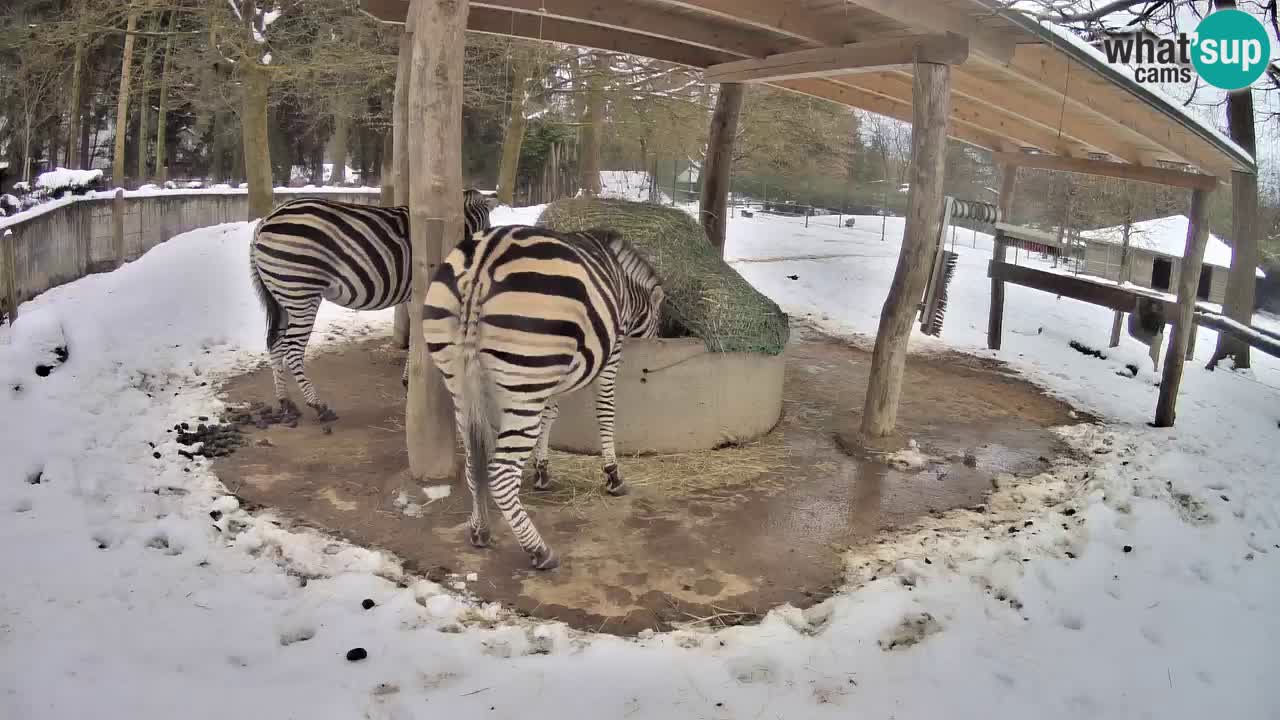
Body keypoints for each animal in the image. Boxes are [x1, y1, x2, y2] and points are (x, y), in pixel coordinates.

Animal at [250, 189, 497, 421]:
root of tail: (266, 220)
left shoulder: (411, 296)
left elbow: (415, 335)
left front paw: (408, 382)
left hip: (282, 297)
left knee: (275, 343)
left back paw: (286, 402)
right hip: (301, 292)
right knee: (292, 349)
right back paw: (318, 405)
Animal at [423, 224, 665, 570]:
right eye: (659, 322)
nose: (659, 342)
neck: (624, 287)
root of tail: (482, 263)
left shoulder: (553, 375)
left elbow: (550, 415)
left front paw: (542, 470)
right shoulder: (611, 352)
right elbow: (605, 410)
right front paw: (613, 475)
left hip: (461, 382)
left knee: (473, 462)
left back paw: (480, 530)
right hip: (524, 384)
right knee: (501, 474)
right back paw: (539, 551)